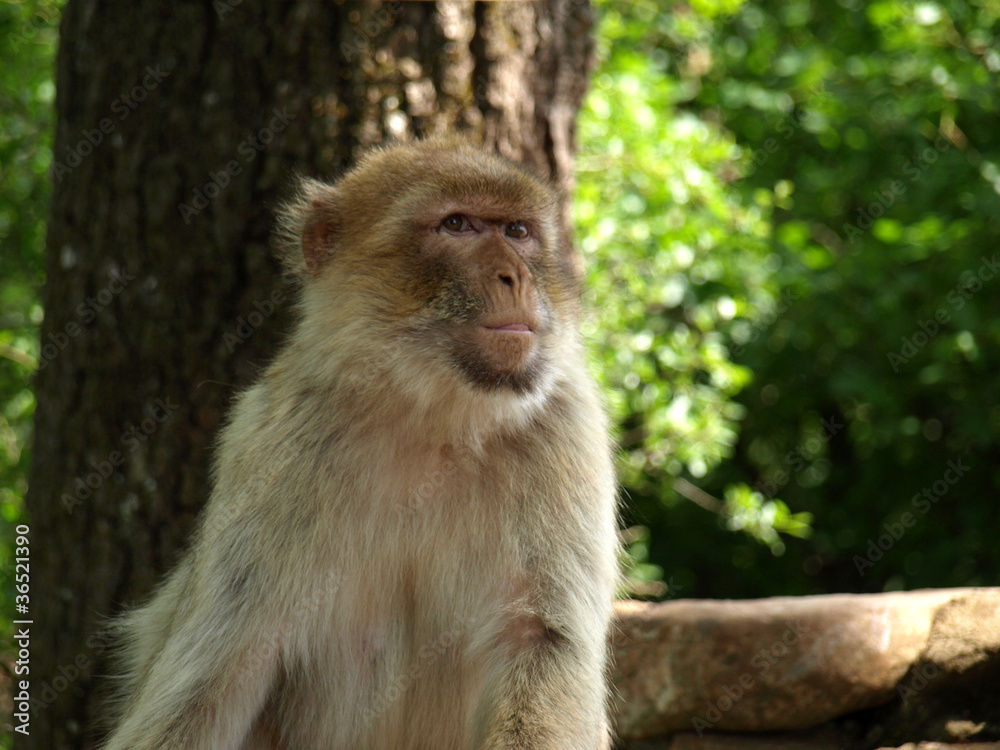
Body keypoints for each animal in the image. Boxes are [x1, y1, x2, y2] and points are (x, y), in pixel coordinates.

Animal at [100, 137, 620, 750]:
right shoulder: (271, 443)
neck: (432, 419)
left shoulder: (566, 428)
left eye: (517, 231)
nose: (514, 275)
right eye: (458, 224)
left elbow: (542, 641)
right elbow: (215, 674)